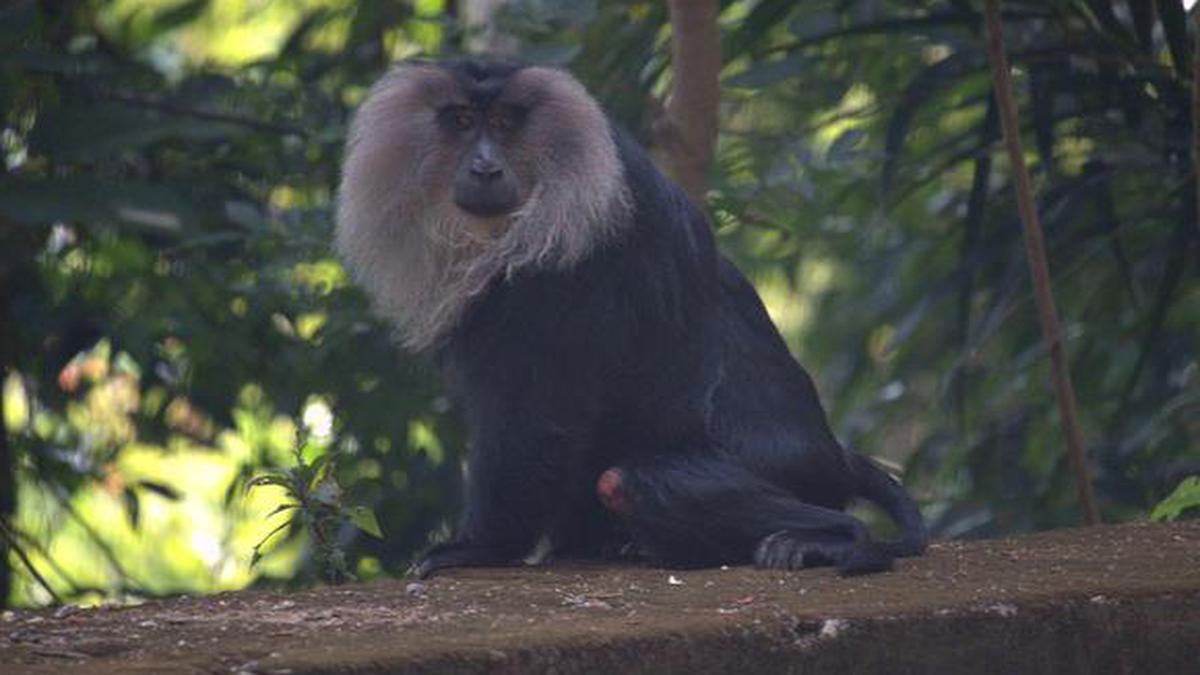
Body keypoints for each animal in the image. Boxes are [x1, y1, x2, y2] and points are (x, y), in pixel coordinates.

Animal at [336, 59, 927, 577]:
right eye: (460, 121)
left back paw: (830, 539)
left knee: (627, 481)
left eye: (505, 123)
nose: (485, 167)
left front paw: (482, 547)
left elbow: (534, 418)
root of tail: (832, 458)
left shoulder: (565, 269)